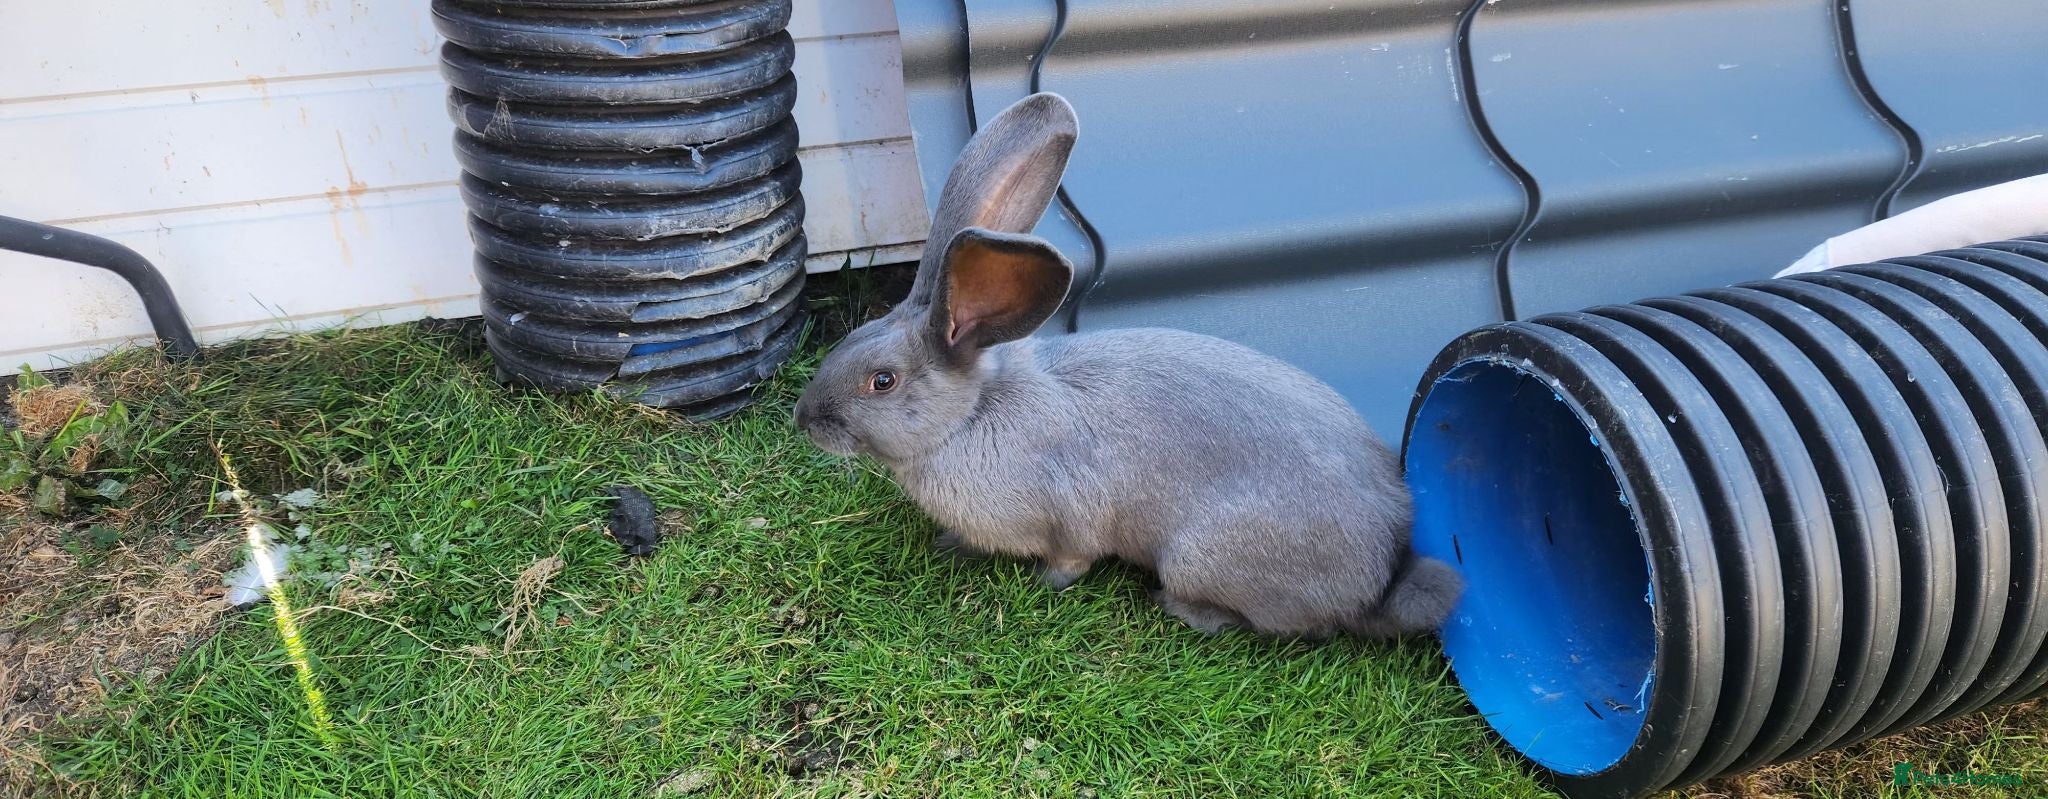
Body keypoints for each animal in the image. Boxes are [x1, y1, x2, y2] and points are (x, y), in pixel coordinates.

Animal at [793, 92, 1462, 638]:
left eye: (882, 381)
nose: (804, 420)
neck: (970, 416)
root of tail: (1381, 573)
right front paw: (950, 542)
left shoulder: (1068, 515)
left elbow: (1072, 558)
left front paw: (1045, 583)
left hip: (1196, 558)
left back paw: (1183, 608)